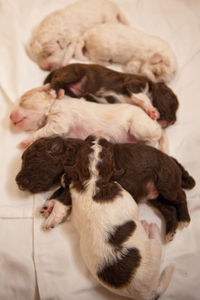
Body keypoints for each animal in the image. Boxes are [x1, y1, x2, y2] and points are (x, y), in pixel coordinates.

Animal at [9, 84, 163, 150]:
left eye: (23, 101)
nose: (10, 116)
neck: (53, 104)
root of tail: (155, 124)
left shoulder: (60, 119)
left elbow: (44, 131)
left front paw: (26, 141)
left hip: (139, 127)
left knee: (154, 138)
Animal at [16, 136, 195, 241]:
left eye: (30, 162)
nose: (16, 181)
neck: (70, 154)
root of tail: (171, 159)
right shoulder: (66, 183)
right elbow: (57, 193)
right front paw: (48, 205)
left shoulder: (76, 184)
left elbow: (62, 201)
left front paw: (52, 218)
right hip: (155, 196)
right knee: (169, 209)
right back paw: (169, 232)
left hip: (166, 183)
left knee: (181, 195)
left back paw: (184, 219)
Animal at [39, 135, 174, 300]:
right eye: (107, 150)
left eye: (87, 144)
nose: (96, 135)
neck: (93, 181)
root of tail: (148, 293)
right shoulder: (128, 200)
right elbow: (134, 209)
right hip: (154, 251)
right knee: (155, 242)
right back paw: (151, 228)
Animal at [44, 62, 179, 128]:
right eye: (171, 99)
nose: (174, 121)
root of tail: (58, 69)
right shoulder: (133, 84)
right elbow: (143, 97)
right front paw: (152, 110)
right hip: (75, 72)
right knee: (57, 81)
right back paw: (54, 91)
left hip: (72, 88)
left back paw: (61, 92)